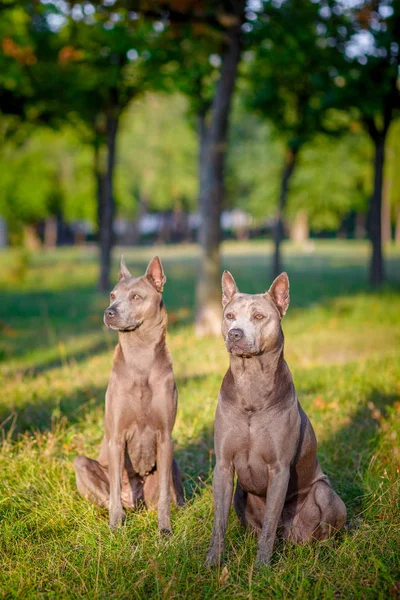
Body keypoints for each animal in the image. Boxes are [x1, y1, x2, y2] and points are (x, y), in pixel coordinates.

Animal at [74, 255, 184, 532]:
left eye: (136, 297)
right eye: (112, 295)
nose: (109, 312)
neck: (140, 356)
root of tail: (137, 503)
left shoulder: (165, 437)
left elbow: (165, 495)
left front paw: (164, 529)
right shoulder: (116, 437)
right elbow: (112, 490)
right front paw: (115, 527)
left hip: (172, 461)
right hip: (81, 463)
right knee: (107, 494)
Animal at [208, 272, 346, 568]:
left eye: (259, 316)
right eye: (229, 316)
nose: (235, 334)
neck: (251, 381)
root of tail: (293, 537)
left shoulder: (279, 468)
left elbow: (271, 523)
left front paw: (261, 568)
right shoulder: (223, 466)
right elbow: (219, 522)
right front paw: (212, 562)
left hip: (323, 493)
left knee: (321, 530)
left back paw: (322, 553)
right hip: (240, 493)